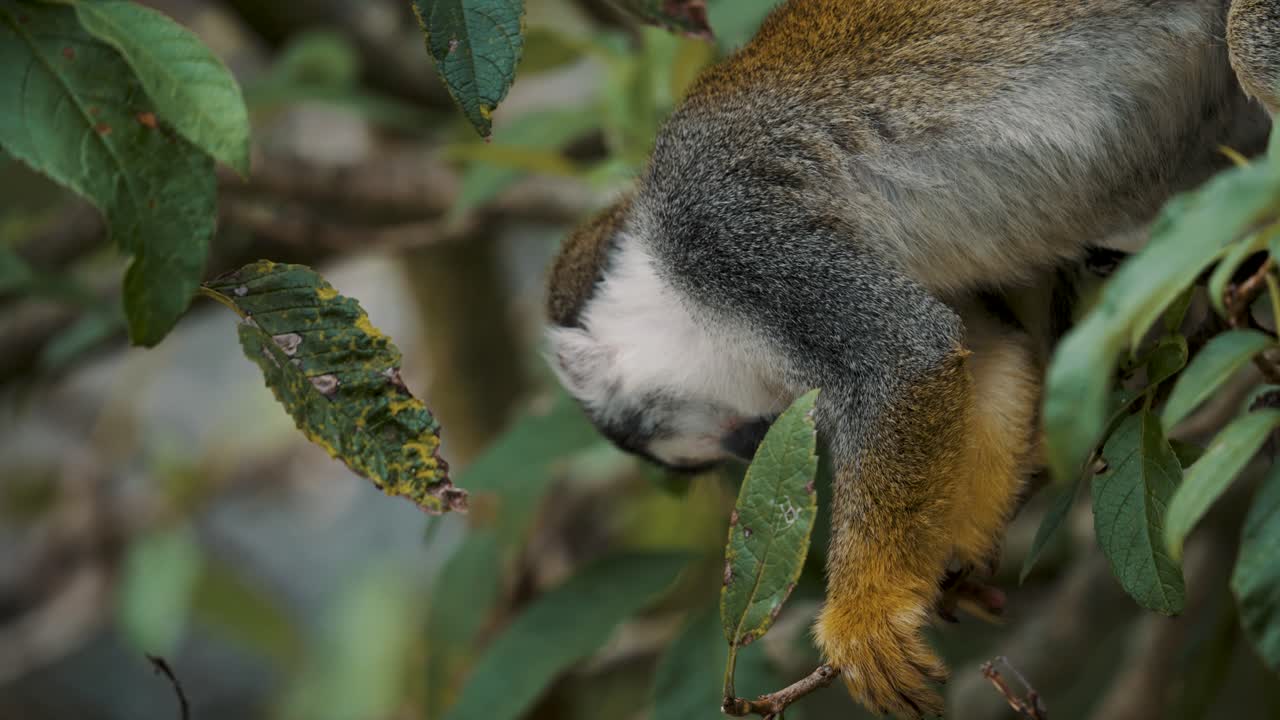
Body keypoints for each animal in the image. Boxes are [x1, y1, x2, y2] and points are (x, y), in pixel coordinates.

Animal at [543, 1, 1277, 716]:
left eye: (722, 437)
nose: (753, 448)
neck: (658, 276)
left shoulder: (717, 228)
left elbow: (901, 354)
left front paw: (864, 616)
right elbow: (979, 353)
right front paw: (950, 557)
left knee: (1247, 42)